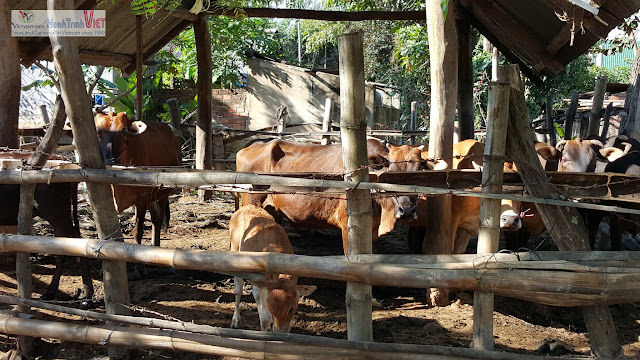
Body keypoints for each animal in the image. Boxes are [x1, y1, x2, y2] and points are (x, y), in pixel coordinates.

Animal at [94, 112, 181, 248]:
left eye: (124, 131)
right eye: (97, 132)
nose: (110, 160)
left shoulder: (142, 198)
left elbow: (137, 231)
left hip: (162, 193)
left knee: (158, 217)